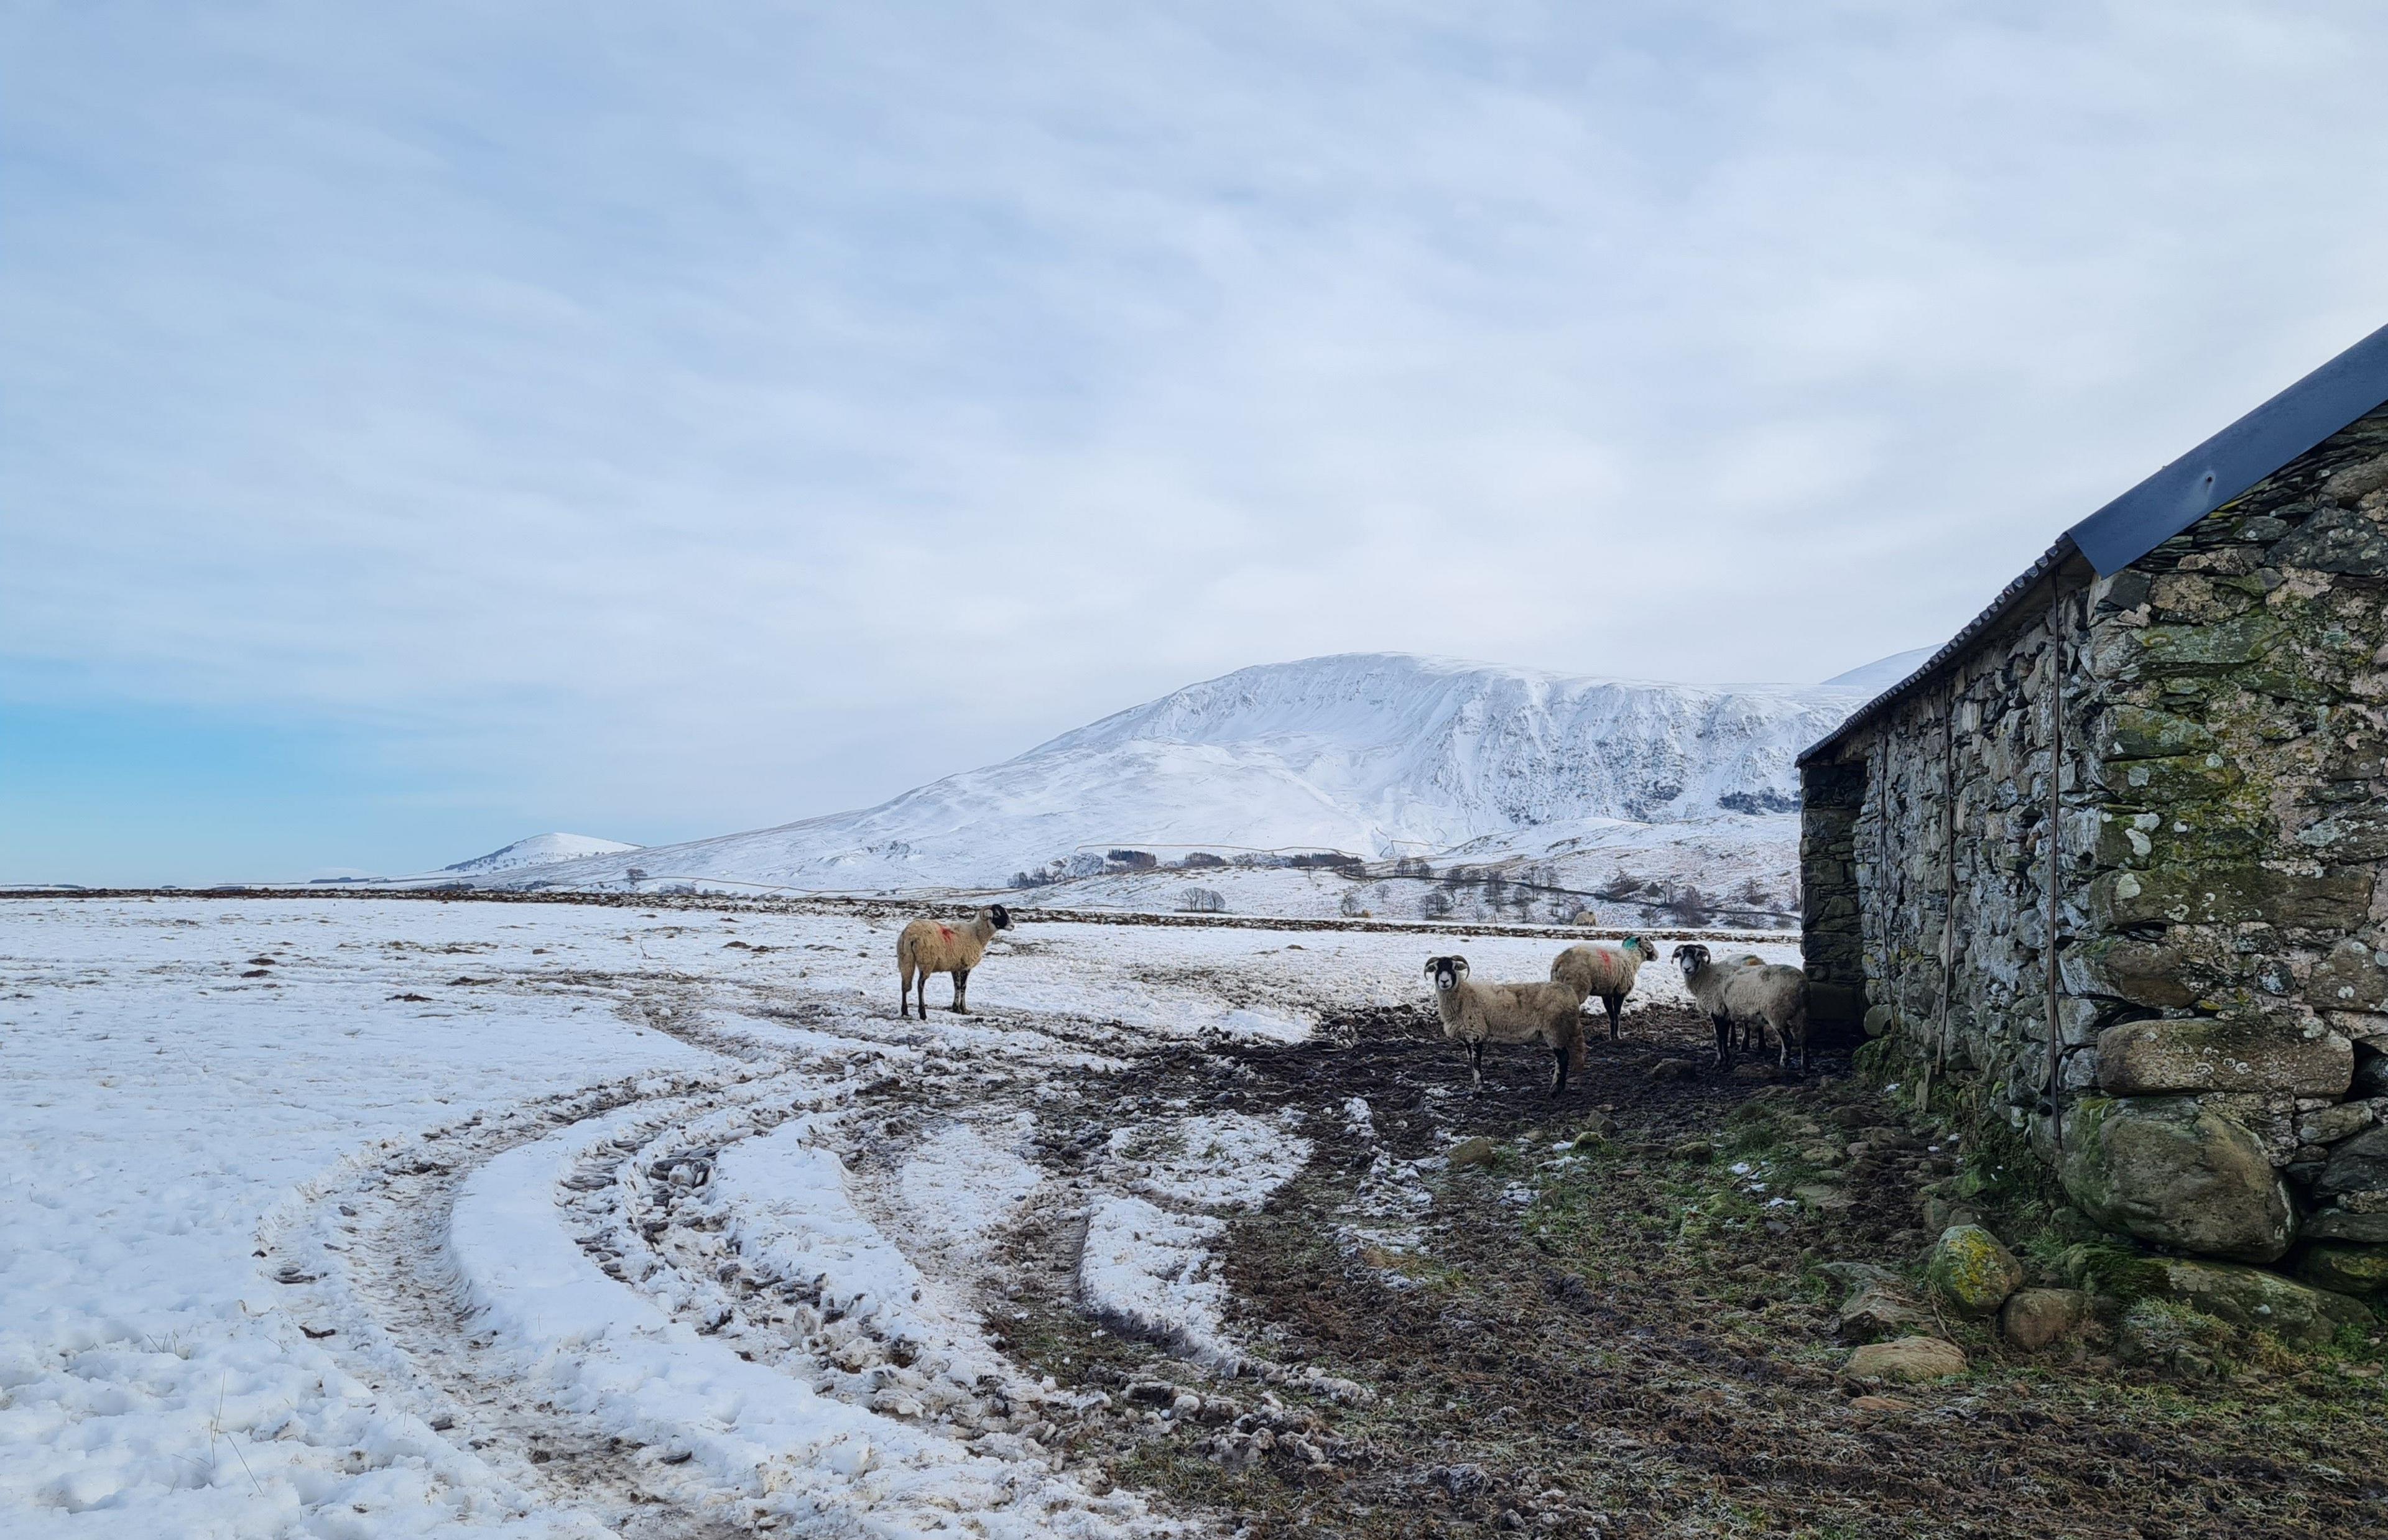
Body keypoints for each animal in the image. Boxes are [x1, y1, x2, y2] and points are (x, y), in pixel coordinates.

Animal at [1414, 950, 1585, 1093]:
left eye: (1454, 967)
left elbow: (1476, 1064)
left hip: (1555, 1028)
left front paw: (1479, 1090)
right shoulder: (1467, 1037)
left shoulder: (1476, 1033)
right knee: (1560, 1059)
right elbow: (1470, 1064)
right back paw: (1555, 1088)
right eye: (1436, 968)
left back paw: (1556, 1091)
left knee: (1563, 1057)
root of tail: (1570, 994)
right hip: (1557, 1031)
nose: (1444, 982)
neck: (1463, 996)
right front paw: (1476, 1087)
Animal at [1547, 931, 1662, 1041]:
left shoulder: (1607, 994)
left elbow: (1611, 1016)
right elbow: (1617, 1014)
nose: (1658, 955)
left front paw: (1612, 1038)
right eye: (1649, 943)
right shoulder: (1621, 992)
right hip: (1577, 987)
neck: (1631, 958)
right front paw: (1618, 1037)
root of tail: (1559, 963)